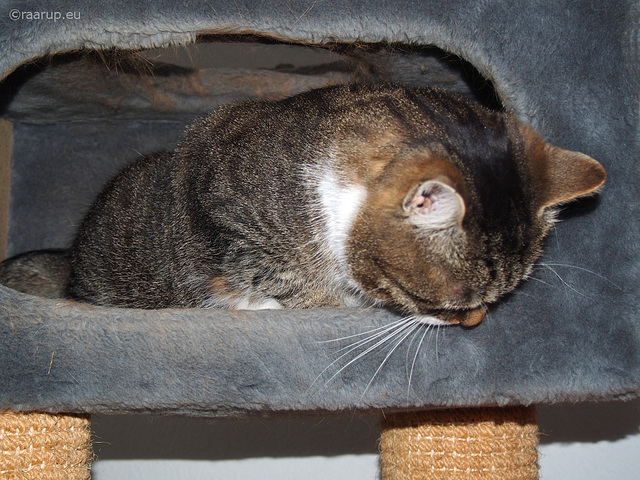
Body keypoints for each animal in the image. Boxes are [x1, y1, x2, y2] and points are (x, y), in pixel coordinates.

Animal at [5, 84, 604, 328]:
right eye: (445, 302)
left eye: (497, 301)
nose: (475, 323)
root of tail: (71, 261)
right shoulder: (224, 211)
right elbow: (282, 280)